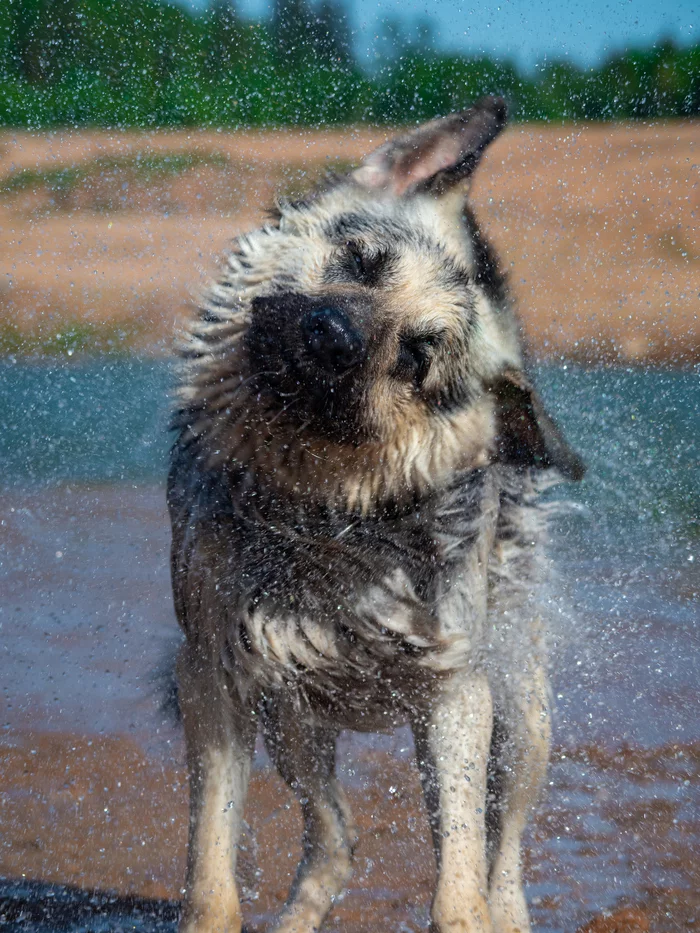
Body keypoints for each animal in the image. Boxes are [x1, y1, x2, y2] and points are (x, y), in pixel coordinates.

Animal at [167, 96, 584, 932]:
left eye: (418, 356)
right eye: (363, 261)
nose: (331, 338)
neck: (321, 510)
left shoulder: (456, 694)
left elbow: (460, 879)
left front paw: (469, 906)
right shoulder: (217, 674)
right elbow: (212, 870)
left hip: (522, 712)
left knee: (505, 849)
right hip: (291, 714)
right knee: (336, 838)